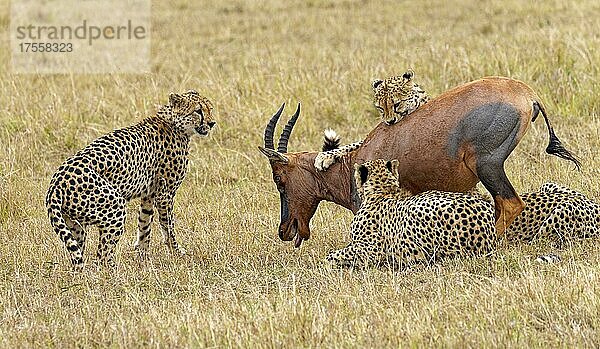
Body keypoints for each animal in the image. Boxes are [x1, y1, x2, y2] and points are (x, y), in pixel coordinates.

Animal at [46, 89, 216, 266]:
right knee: (102, 256)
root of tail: (55, 184)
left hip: (74, 224)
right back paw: (115, 270)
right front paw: (177, 252)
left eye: (210, 108)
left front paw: (143, 256)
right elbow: (168, 225)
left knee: (79, 255)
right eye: (198, 111)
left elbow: (144, 224)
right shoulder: (165, 195)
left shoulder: (149, 195)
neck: (174, 123)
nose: (212, 123)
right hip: (115, 206)